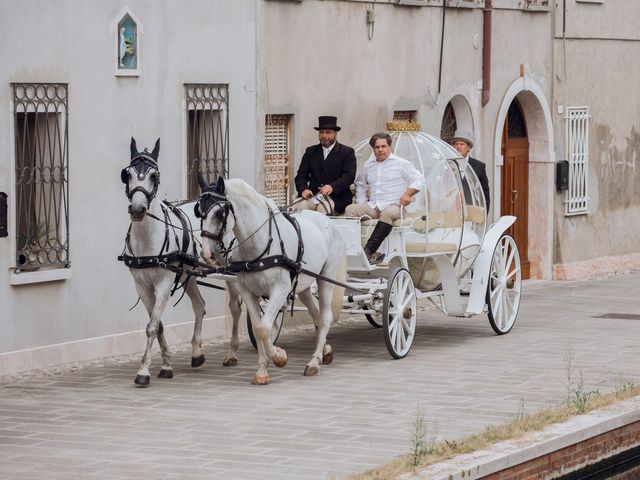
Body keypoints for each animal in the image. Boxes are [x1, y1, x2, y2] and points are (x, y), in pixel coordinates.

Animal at [119, 138, 242, 386]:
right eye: (127, 175)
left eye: (153, 176)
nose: (137, 209)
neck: (148, 239)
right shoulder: (142, 286)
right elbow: (158, 325)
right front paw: (166, 364)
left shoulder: (164, 283)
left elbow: (151, 326)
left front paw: (144, 371)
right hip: (188, 273)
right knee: (200, 306)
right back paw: (196, 353)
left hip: (230, 271)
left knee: (235, 307)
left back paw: (232, 352)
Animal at [199, 178, 344, 384]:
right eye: (199, 211)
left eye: (220, 213)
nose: (207, 253)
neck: (260, 243)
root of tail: (327, 221)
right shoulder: (247, 291)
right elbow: (258, 327)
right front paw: (262, 370)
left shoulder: (280, 290)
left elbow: (264, 328)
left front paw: (278, 357)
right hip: (303, 285)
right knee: (315, 313)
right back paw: (326, 351)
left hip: (326, 279)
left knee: (324, 318)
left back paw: (314, 362)